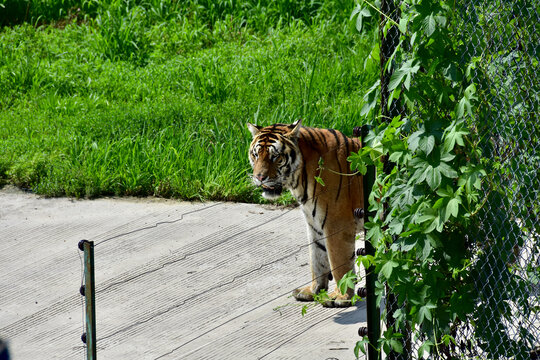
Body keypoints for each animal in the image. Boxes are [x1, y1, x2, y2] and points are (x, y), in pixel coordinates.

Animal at [248, 119, 364, 308]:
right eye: (256, 155)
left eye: (275, 157)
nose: (259, 178)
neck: (299, 178)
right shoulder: (314, 222)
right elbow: (317, 258)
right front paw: (312, 291)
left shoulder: (337, 224)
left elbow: (338, 262)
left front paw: (340, 297)